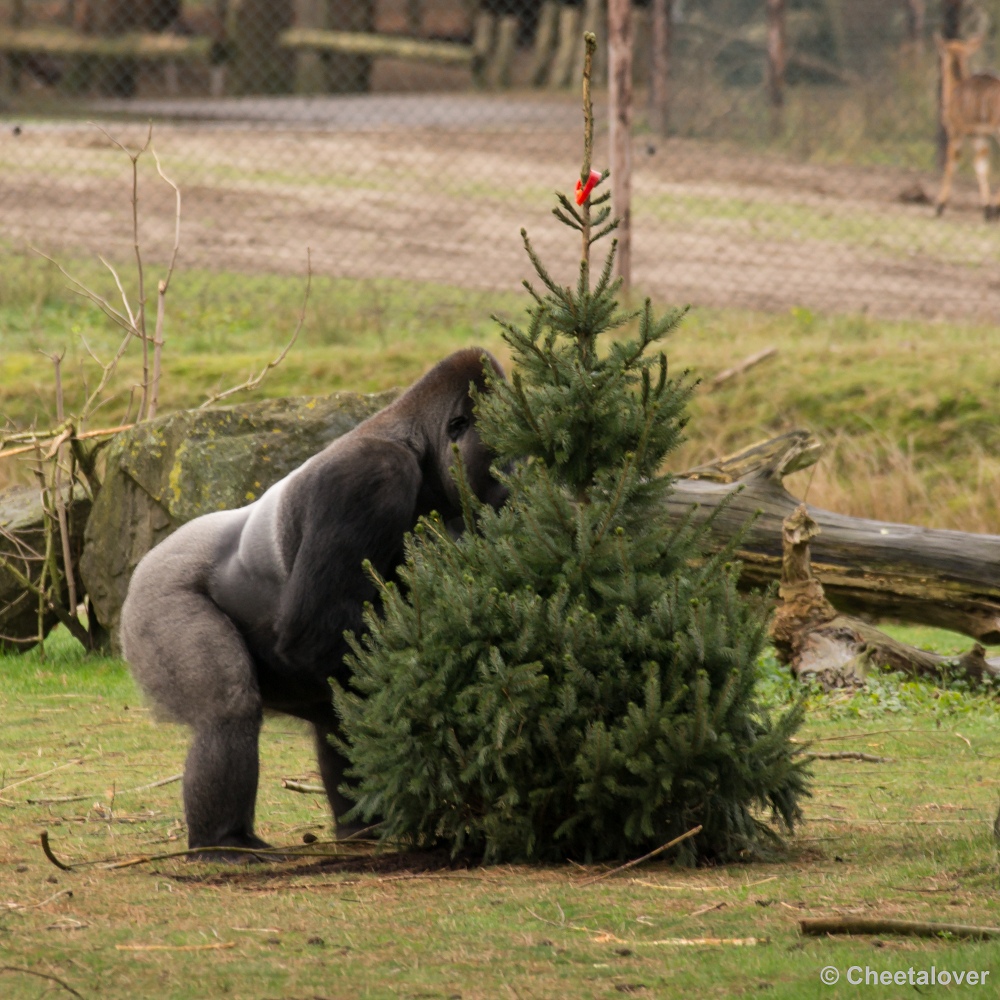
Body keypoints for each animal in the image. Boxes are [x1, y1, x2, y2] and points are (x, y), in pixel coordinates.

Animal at [119, 346, 508, 860]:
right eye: (503, 451)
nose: (515, 480)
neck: (419, 446)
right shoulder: (369, 477)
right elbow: (314, 629)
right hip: (157, 595)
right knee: (229, 708)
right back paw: (224, 841)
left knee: (332, 706)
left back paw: (363, 827)